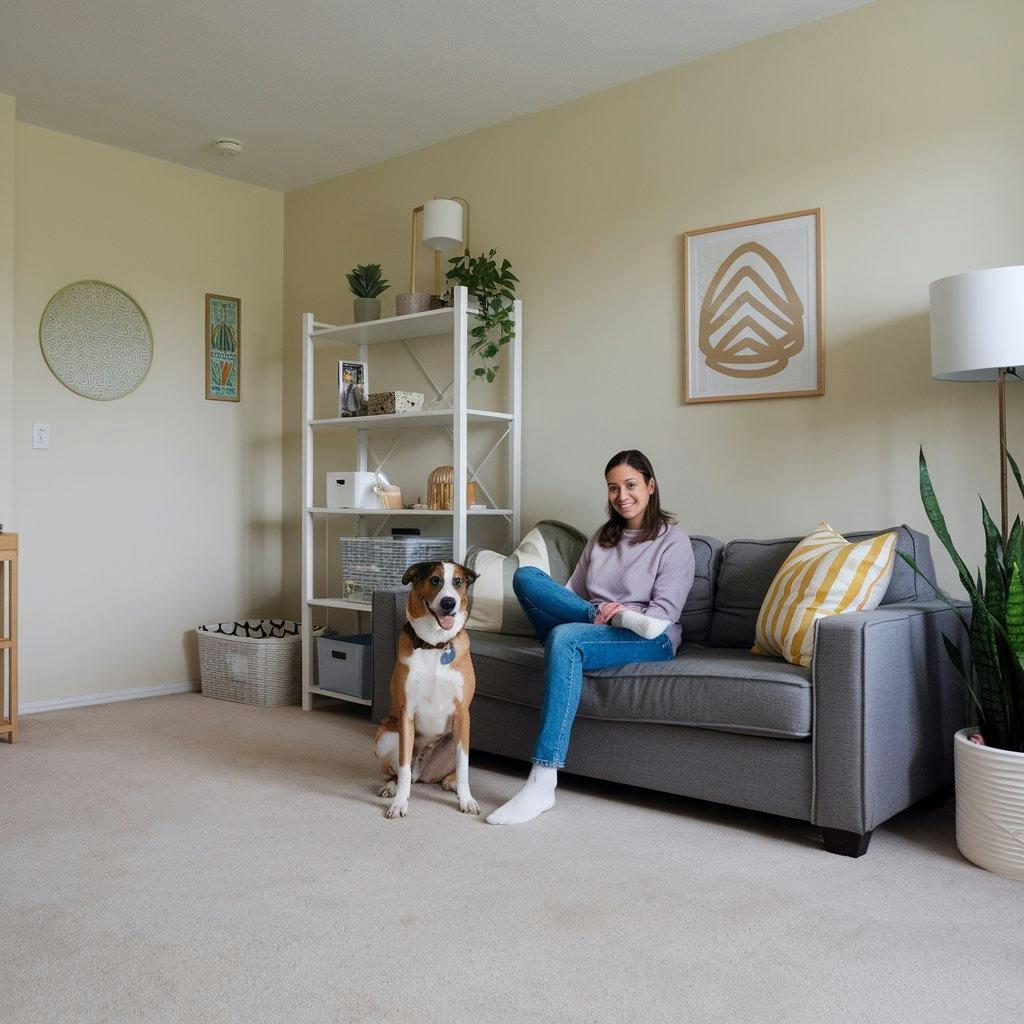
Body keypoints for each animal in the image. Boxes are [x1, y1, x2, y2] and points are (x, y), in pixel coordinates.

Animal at [376, 561, 479, 815]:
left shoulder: (462, 714)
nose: (449, 603)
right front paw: (399, 803)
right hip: (386, 733)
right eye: (435, 580)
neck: (435, 645)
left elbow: (463, 767)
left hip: (459, 738)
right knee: (401, 773)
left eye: (458, 582)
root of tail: (422, 773)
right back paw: (392, 787)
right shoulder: (406, 713)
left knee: (451, 771)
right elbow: (403, 766)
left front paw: (466, 799)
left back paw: (451, 783)